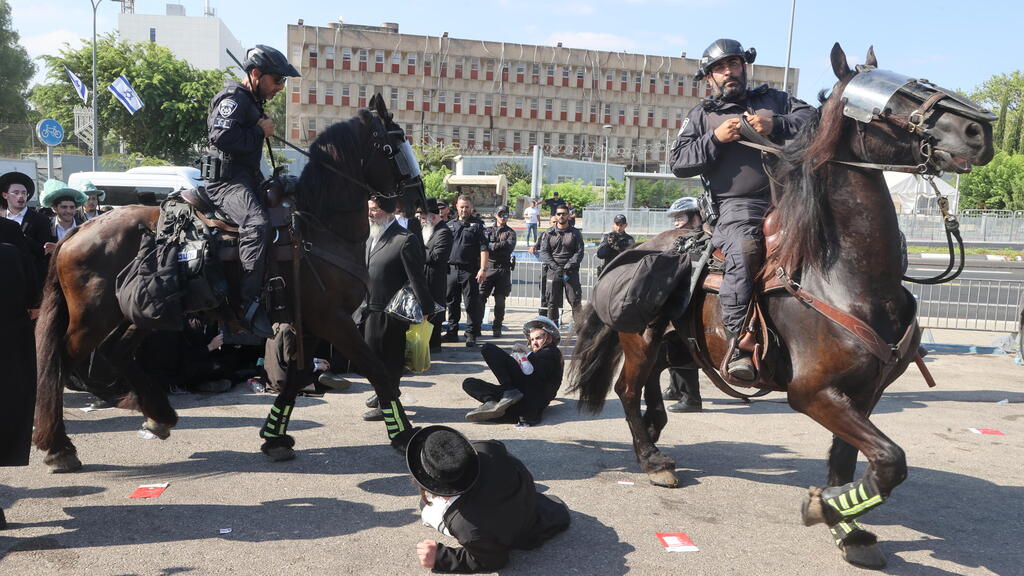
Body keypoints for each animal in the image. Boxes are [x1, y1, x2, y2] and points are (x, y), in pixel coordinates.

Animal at [32, 94, 423, 469]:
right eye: (395, 145)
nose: (420, 199)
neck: (319, 226)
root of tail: (82, 228)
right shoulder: (332, 319)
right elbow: (376, 370)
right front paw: (404, 436)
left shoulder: (310, 324)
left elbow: (294, 380)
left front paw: (275, 438)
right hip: (93, 317)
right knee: (61, 365)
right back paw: (60, 446)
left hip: (143, 313)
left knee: (115, 352)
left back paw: (157, 415)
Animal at [569, 43, 991, 565]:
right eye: (893, 100)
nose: (979, 131)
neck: (842, 276)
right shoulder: (811, 392)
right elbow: (891, 460)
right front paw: (824, 508)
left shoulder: (864, 393)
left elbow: (849, 462)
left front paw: (847, 526)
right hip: (641, 341)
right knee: (627, 390)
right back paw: (651, 459)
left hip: (675, 346)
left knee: (647, 387)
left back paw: (656, 432)